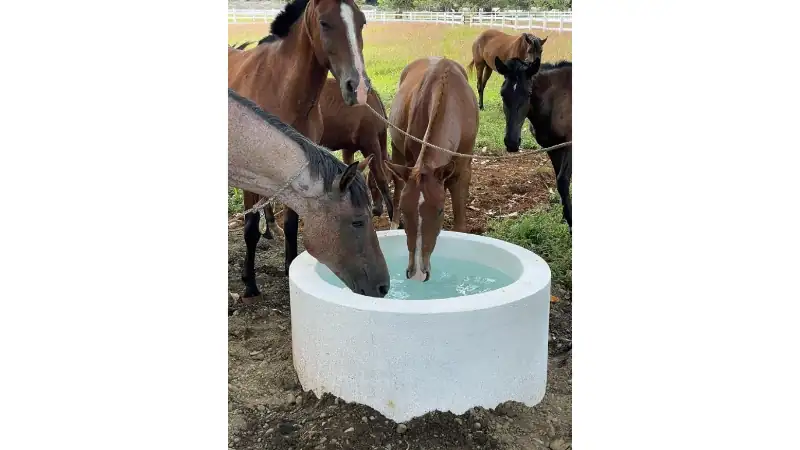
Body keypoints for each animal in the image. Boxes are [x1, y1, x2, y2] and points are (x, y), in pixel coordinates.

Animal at [228, 0, 372, 299]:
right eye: (325, 23)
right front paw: (249, 283)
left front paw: (289, 268)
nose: (359, 88)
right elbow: (249, 229)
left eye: (362, 21)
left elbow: (292, 225)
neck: (281, 86)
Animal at [384, 57, 478, 282]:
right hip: (397, 151)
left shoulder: (462, 171)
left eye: (439, 211)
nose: (418, 273)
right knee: (398, 186)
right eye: (406, 212)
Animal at [495, 57, 572, 232]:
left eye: (529, 93)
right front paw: (565, 217)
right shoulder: (553, 147)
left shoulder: (570, 145)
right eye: (502, 93)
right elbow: (560, 183)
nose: (511, 143)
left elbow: (563, 181)